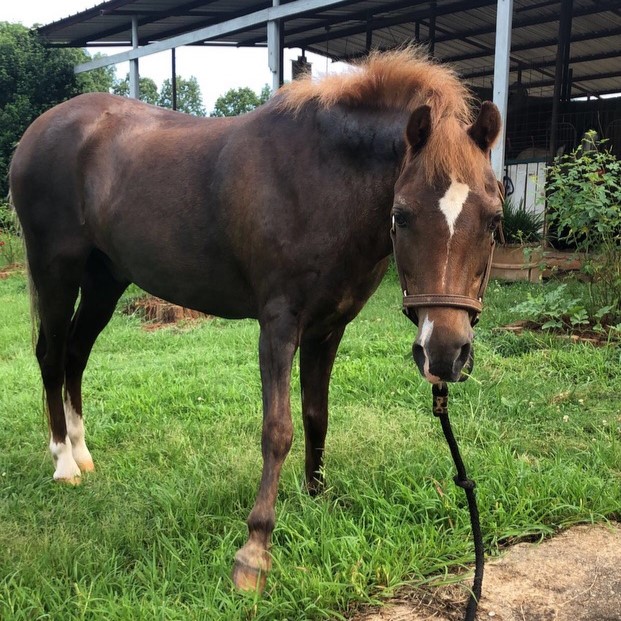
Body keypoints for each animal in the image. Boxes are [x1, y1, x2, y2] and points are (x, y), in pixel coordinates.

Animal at [9, 48, 502, 592]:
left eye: (494, 218)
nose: (445, 353)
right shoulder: (279, 326)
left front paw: (316, 498)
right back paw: (63, 463)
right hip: (56, 271)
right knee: (52, 356)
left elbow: (316, 415)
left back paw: (82, 453)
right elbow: (278, 429)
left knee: (75, 354)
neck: (321, 179)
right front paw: (255, 549)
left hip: (104, 280)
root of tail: (39, 130)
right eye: (402, 215)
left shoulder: (328, 329)